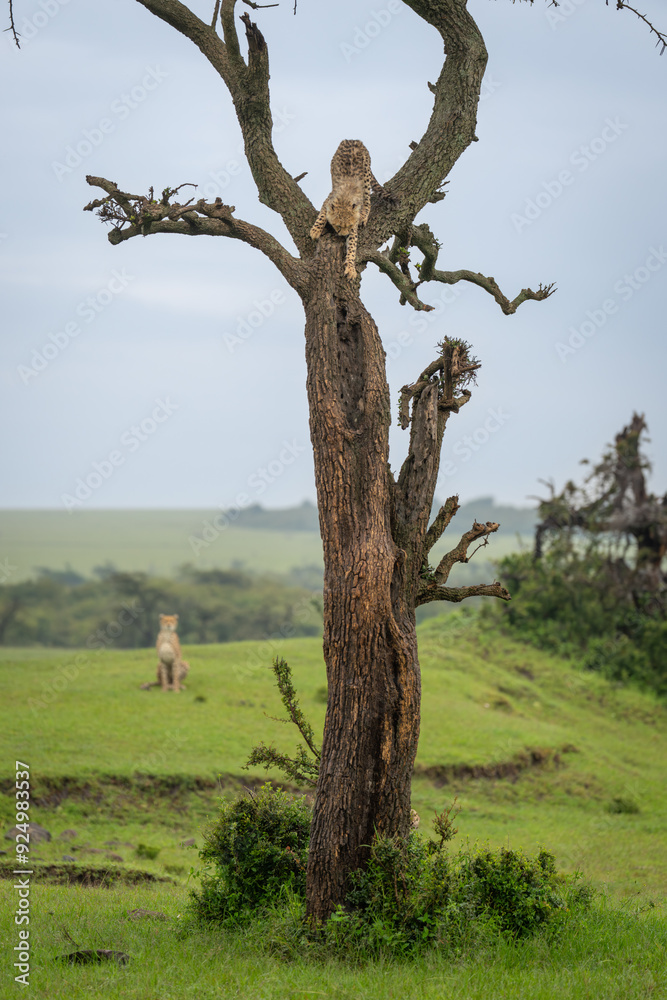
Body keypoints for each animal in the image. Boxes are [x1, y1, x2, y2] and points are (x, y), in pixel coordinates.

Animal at [310, 139, 387, 280]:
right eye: (338, 226)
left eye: (349, 226)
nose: (343, 235)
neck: (344, 201)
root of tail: (353, 139)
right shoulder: (328, 199)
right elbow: (323, 214)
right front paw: (315, 230)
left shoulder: (353, 226)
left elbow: (352, 247)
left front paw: (350, 267)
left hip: (366, 175)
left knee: (367, 200)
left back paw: (364, 216)